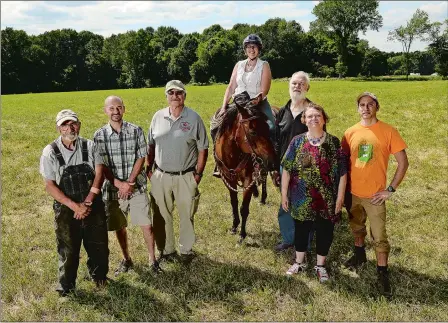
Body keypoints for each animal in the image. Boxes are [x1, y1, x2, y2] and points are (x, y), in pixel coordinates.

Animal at [213, 95, 276, 244]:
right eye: (253, 132)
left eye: (267, 128)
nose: (272, 162)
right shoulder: (228, 179)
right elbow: (234, 202)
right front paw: (234, 226)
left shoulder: (249, 178)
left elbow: (244, 208)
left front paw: (242, 234)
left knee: (263, 177)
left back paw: (262, 198)